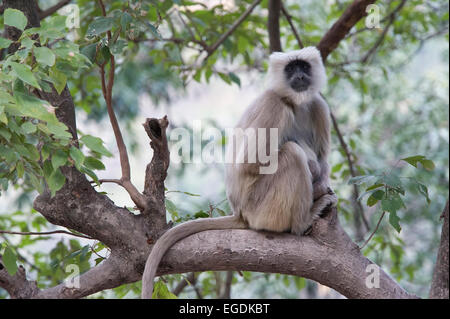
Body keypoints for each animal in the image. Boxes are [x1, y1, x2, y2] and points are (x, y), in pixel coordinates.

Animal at [142, 46, 336, 298]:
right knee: (292, 153)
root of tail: (240, 213)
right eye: (291, 68)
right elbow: (249, 162)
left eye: (303, 66)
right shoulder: (274, 104)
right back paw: (303, 222)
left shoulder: (319, 106)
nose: (300, 76)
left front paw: (322, 184)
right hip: (260, 208)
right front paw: (315, 177)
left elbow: (323, 160)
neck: (295, 103)